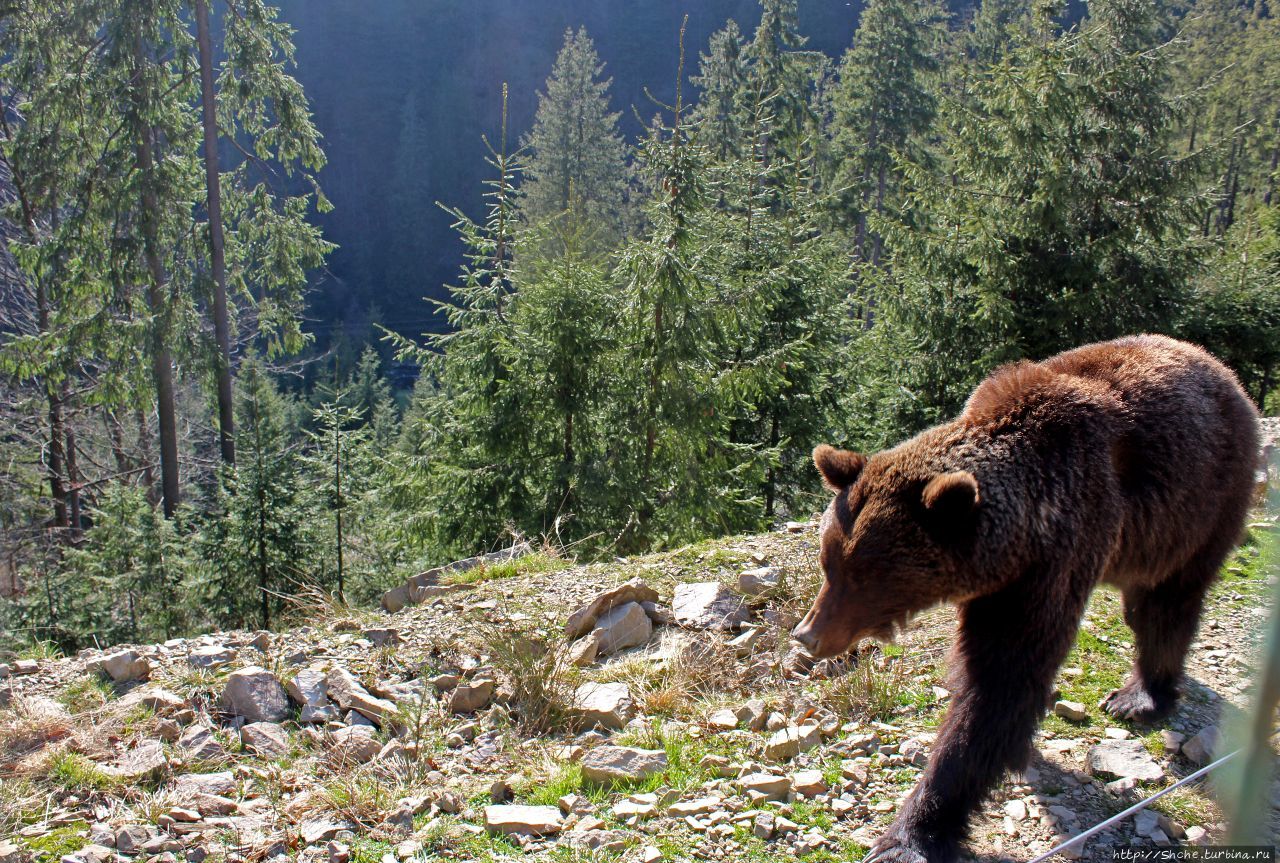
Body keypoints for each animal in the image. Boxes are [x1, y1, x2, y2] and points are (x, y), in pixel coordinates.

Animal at [788, 335, 1259, 860]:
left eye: (863, 577)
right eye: (828, 563)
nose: (807, 634)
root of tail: (1218, 367)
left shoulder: (1055, 556)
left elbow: (1000, 682)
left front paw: (911, 834)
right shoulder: (1004, 580)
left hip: (1203, 501)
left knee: (1167, 605)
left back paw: (1140, 696)